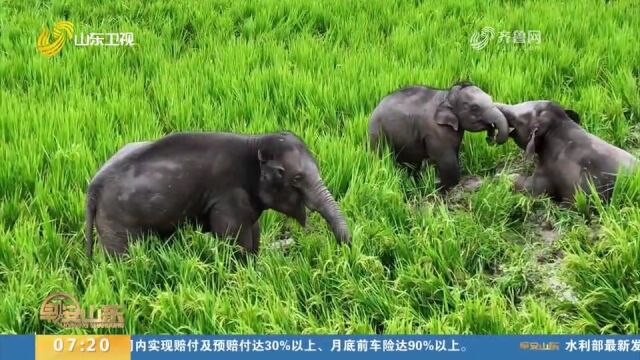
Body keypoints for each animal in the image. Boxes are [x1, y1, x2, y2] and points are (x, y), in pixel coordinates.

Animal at [84, 131, 350, 260]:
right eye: (297, 178)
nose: (345, 248)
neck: (255, 142)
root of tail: (94, 186)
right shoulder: (227, 198)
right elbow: (237, 243)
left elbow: (253, 235)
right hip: (116, 220)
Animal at [364, 80, 510, 190]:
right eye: (475, 108)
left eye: (490, 98)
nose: (490, 138)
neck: (446, 95)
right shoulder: (436, 131)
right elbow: (446, 160)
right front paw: (445, 187)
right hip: (377, 133)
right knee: (381, 157)